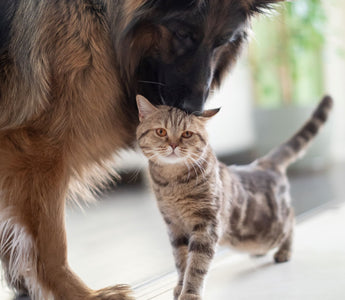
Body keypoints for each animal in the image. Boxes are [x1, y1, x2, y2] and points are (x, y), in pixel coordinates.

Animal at [0, 0, 284, 300]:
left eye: (222, 42)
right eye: (183, 34)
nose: (194, 111)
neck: (103, 18)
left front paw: (25, 284)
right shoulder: (40, 152)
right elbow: (51, 244)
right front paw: (82, 295)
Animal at [135, 94, 334, 300]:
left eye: (187, 134)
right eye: (161, 131)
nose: (173, 145)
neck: (173, 183)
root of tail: (263, 163)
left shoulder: (207, 225)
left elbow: (196, 265)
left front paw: (189, 293)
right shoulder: (174, 226)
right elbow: (181, 261)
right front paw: (180, 286)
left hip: (275, 227)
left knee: (292, 219)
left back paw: (284, 251)